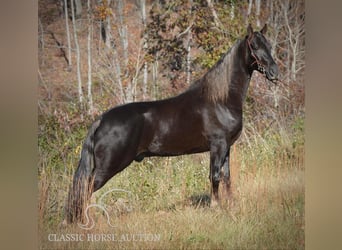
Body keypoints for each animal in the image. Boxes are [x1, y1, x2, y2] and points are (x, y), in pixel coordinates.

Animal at [66, 23, 278, 223]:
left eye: (269, 45)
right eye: (254, 46)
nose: (274, 72)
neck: (220, 100)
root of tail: (101, 120)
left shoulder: (227, 147)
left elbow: (226, 177)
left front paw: (231, 206)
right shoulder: (218, 145)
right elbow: (215, 176)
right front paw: (216, 207)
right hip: (109, 166)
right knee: (85, 188)